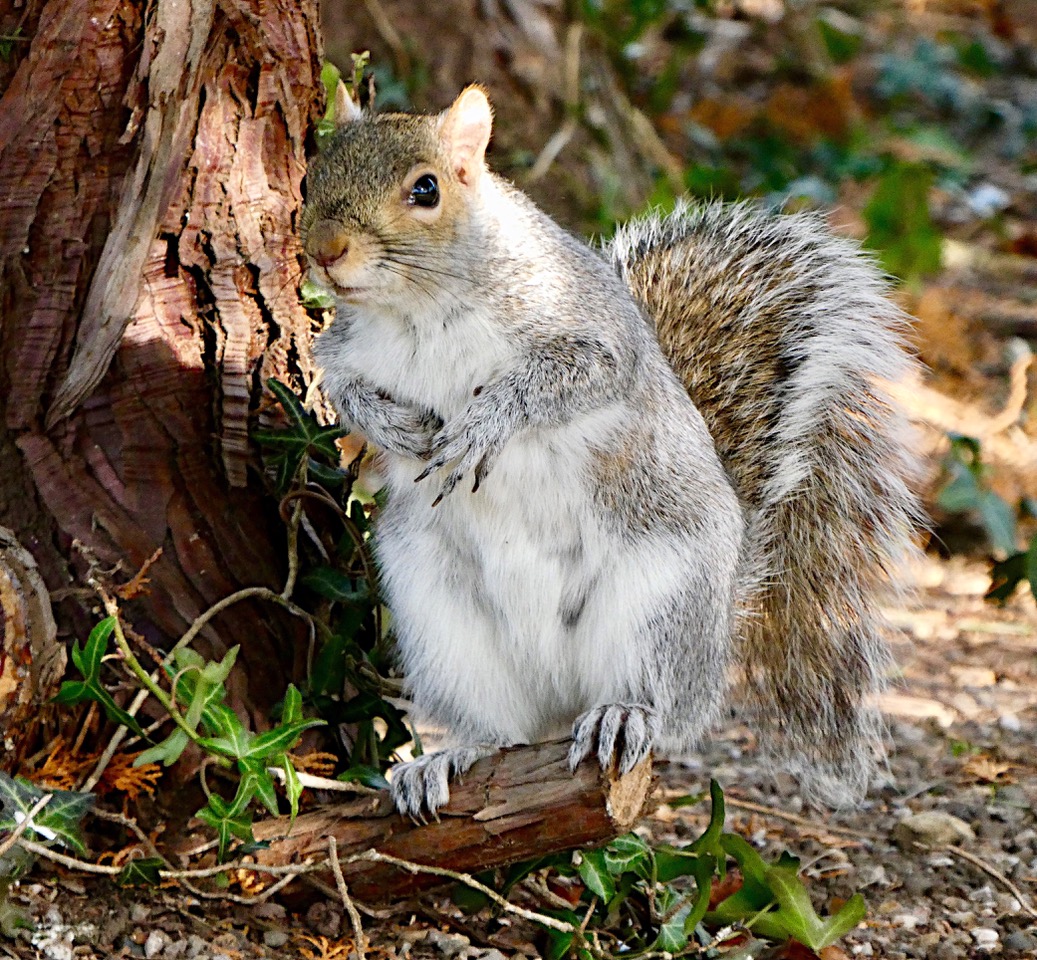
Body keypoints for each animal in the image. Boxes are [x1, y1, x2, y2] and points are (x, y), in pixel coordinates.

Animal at [300, 84, 921, 818]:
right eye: (310, 175)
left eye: (426, 189)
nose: (326, 250)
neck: (419, 309)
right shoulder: (343, 348)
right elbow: (341, 387)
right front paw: (392, 426)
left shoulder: (592, 329)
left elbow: (569, 378)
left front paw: (484, 422)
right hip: (441, 623)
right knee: (499, 729)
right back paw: (448, 757)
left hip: (658, 602)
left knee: (662, 707)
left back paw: (621, 715)